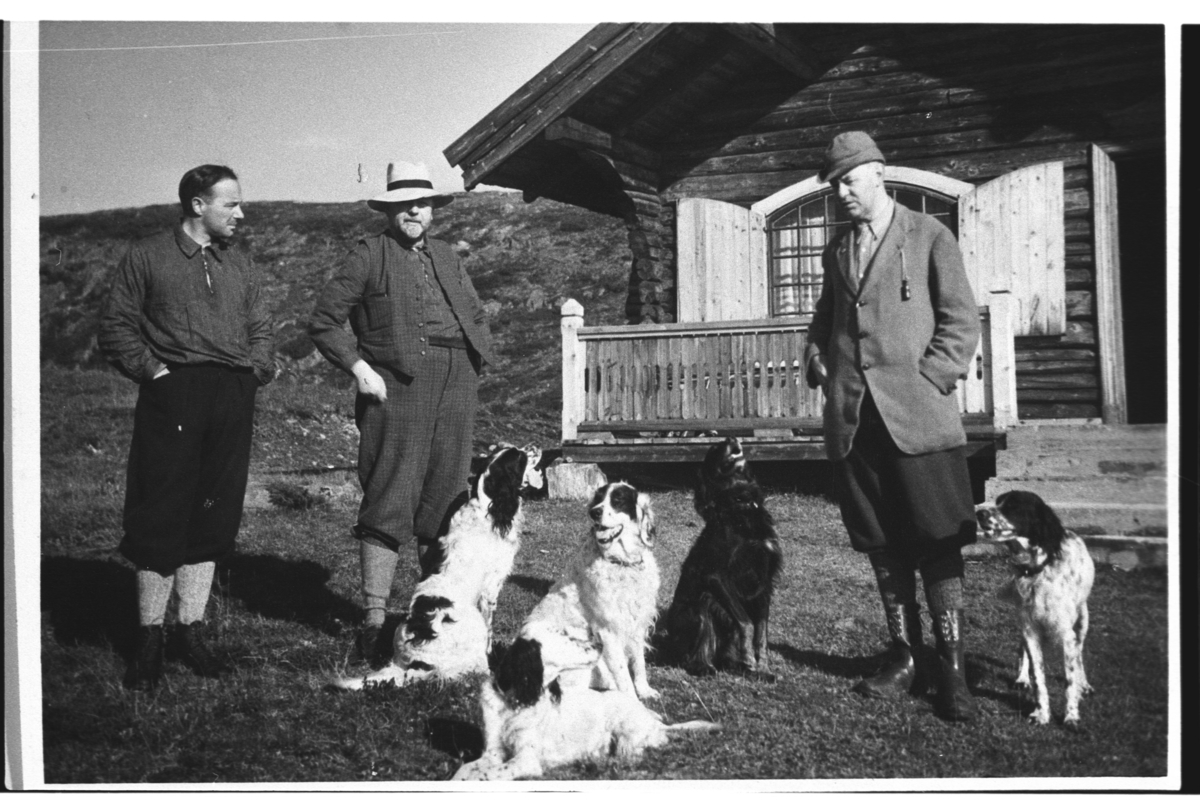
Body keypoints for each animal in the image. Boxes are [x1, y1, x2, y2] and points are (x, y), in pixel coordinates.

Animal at [326, 443, 537, 690]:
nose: (533, 448)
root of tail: (415, 661)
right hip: (473, 622)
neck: (486, 505)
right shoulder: (491, 587)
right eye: (520, 458)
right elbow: (490, 629)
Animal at [662, 438, 782, 676]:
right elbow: (746, 623)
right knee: (691, 653)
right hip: (698, 608)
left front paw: (763, 667)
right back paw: (703, 667)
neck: (742, 505)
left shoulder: (764, 581)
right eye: (715, 448)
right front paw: (750, 659)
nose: (731, 439)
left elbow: (761, 632)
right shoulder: (716, 576)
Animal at [979, 491, 1094, 729]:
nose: (979, 513)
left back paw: (1084, 684)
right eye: (997, 503)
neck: (1036, 571)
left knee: (1080, 654)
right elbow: (1039, 678)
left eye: (1013, 506)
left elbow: (1070, 679)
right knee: (1021, 650)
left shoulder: (1067, 635)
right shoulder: (1029, 629)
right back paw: (1021, 678)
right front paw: (1041, 714)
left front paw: (1071, 715)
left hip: (1082, 620)